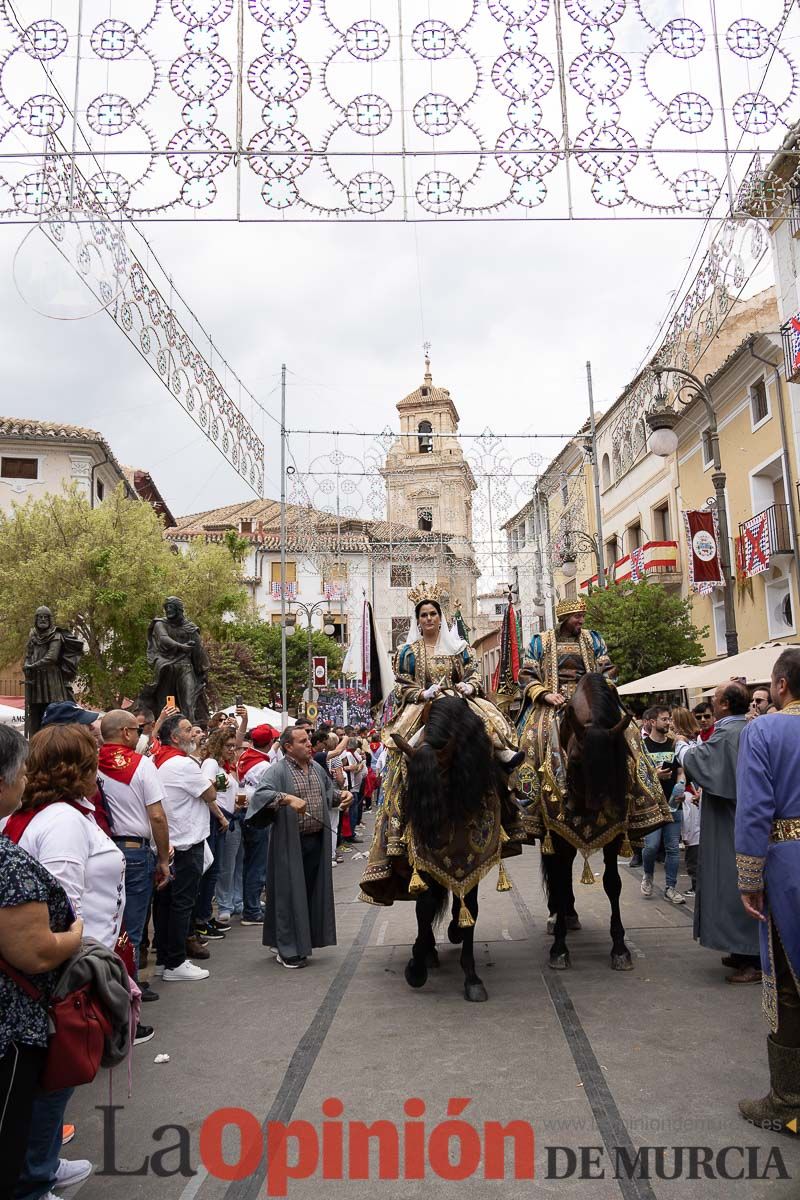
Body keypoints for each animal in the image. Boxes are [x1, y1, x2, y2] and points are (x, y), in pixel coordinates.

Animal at [393, 696, 501, 1003]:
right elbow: (425, 906)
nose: (432, 842)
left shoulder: (473, 860)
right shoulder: (424, 865)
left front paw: (472, 977)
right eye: (409, 789)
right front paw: (417, 967)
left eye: (444, 784)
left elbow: (471, 907)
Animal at [544, 676, 638, 974]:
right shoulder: (558, 835)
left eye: (616, 760)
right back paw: (557, 915)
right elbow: (560, 879)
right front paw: (559, 948)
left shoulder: (615, 834)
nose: (580, 811)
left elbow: (612, 883)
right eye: (574, 760)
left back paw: (570, 914)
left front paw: (620, 948)